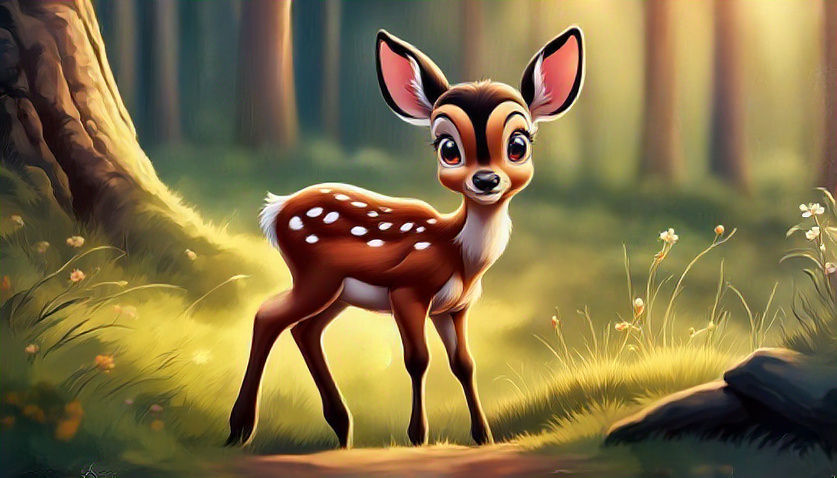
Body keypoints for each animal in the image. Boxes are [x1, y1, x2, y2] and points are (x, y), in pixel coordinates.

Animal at [226, 26, 585, 448]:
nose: (486, 180)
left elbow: (464, 364)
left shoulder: (455, 307)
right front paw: (418, 435)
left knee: (305, 329)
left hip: (337, 292)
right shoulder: (408, 290)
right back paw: (241, 427)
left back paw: (341, 427)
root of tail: (275, 209)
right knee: (268, 315)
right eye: (448, 148)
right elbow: (417, 360)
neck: (459, 255)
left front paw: (483, 435)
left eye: (518, 145)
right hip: (315, 276)